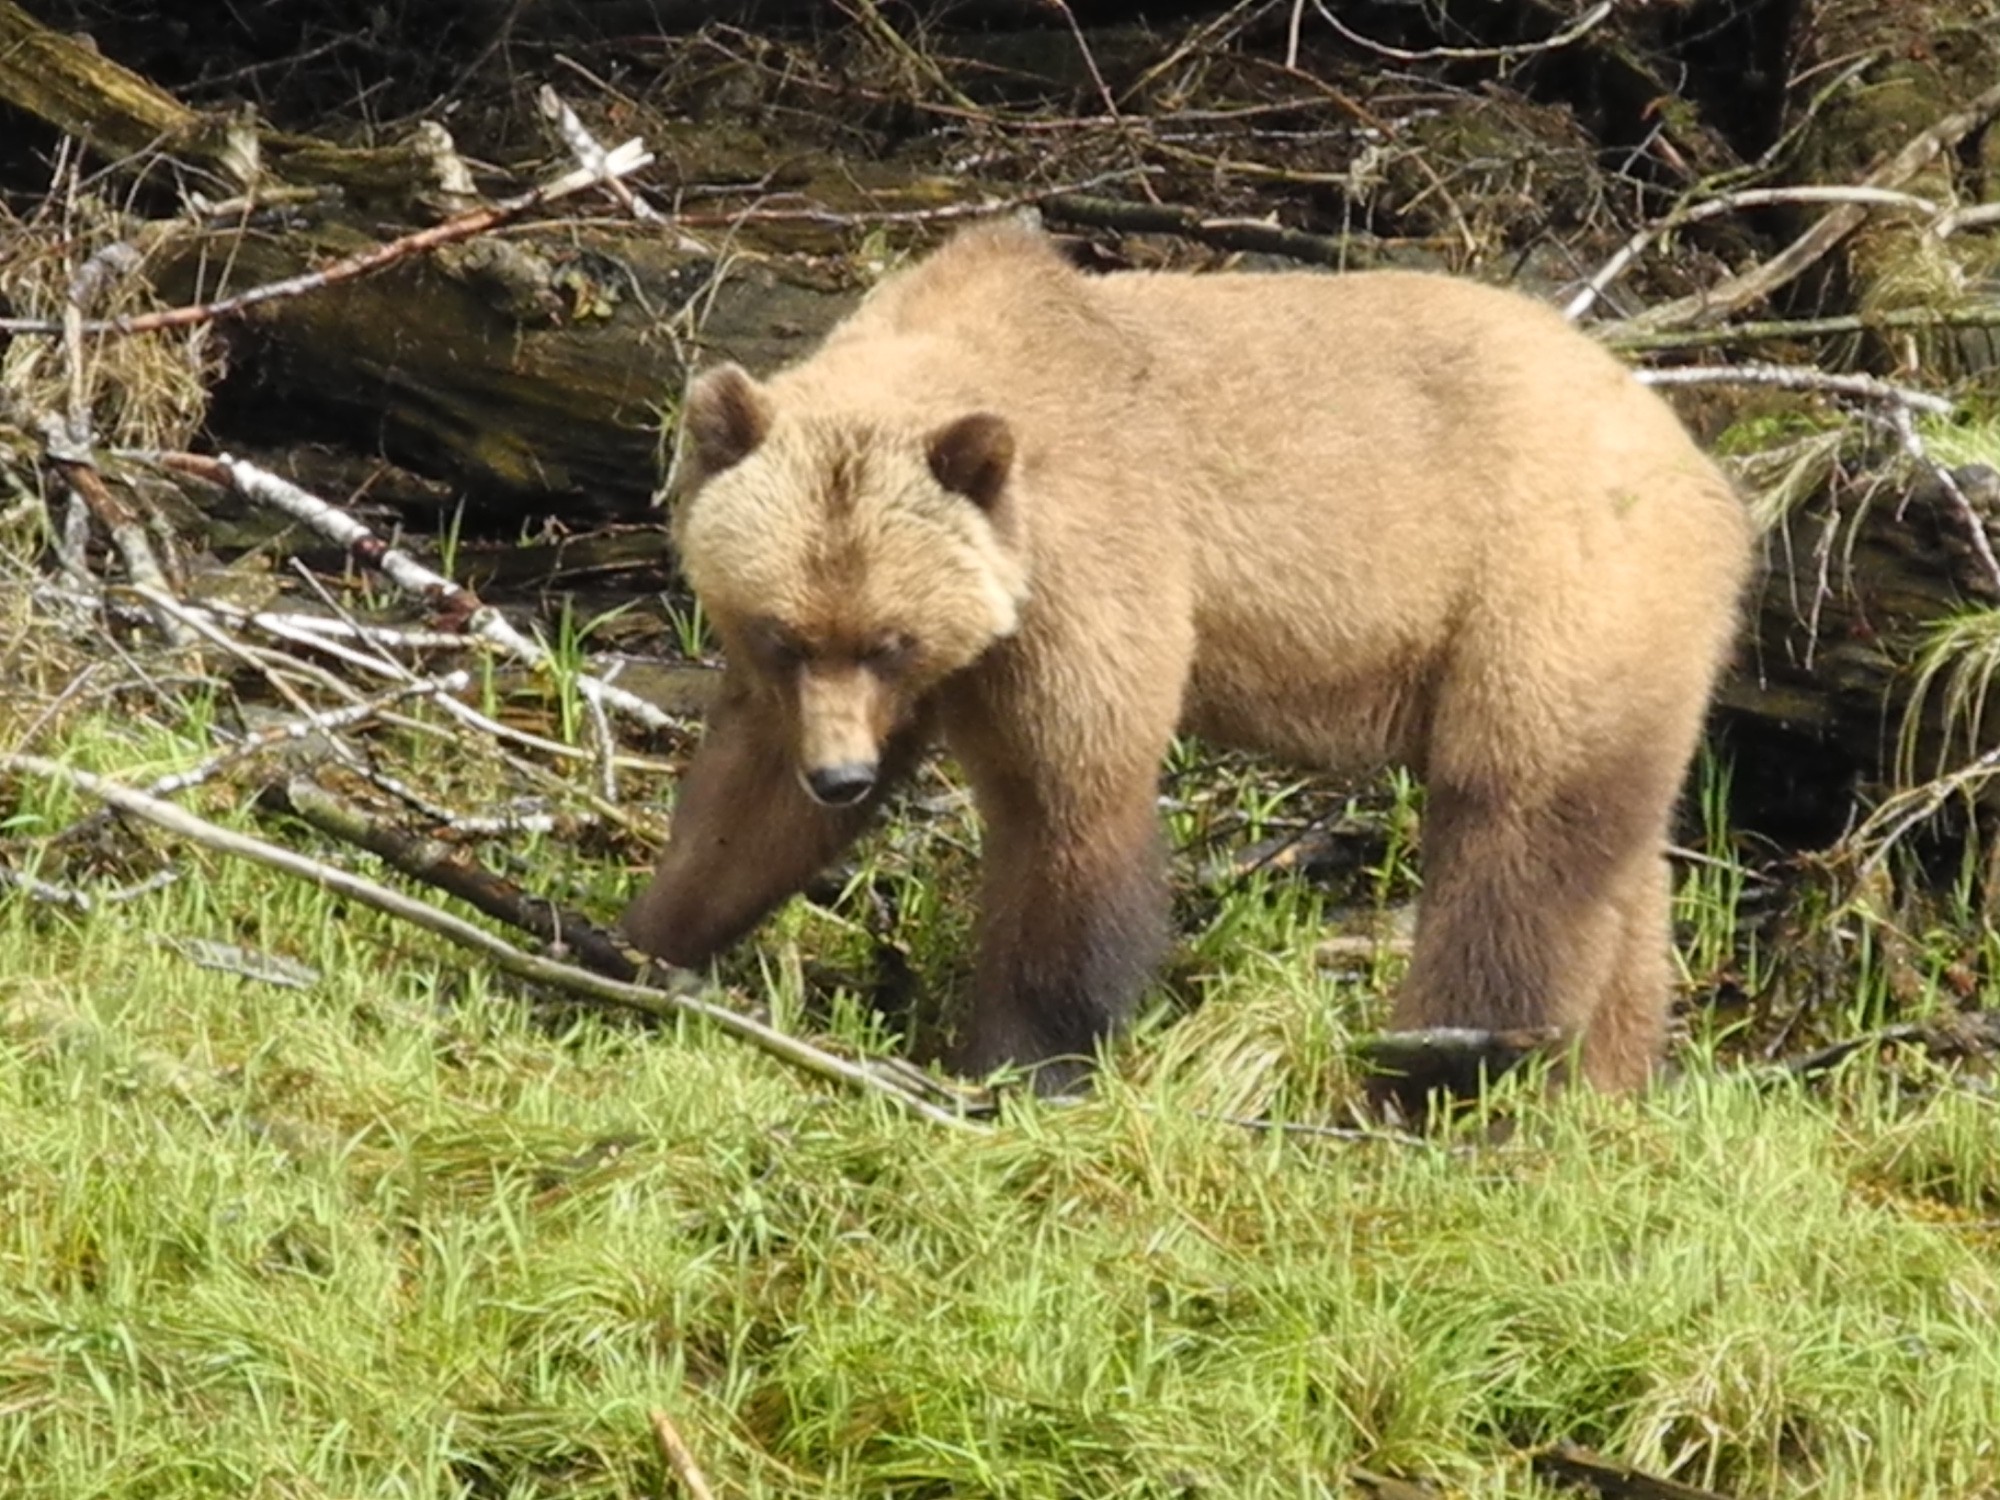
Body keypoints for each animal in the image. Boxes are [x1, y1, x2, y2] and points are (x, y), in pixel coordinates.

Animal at [620, 217, 1752, 1096]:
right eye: (783, 633)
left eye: (891, 639)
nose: (843, 776)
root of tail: (1696, 459)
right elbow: (744, 808)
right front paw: (640, 941)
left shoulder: (1092, 565)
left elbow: (1068, 801)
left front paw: (1027, 1059)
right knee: (1619, 861)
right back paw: (1600, 1082)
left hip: (1553, 585)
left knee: (1512, 820)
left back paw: (1445, 1063)